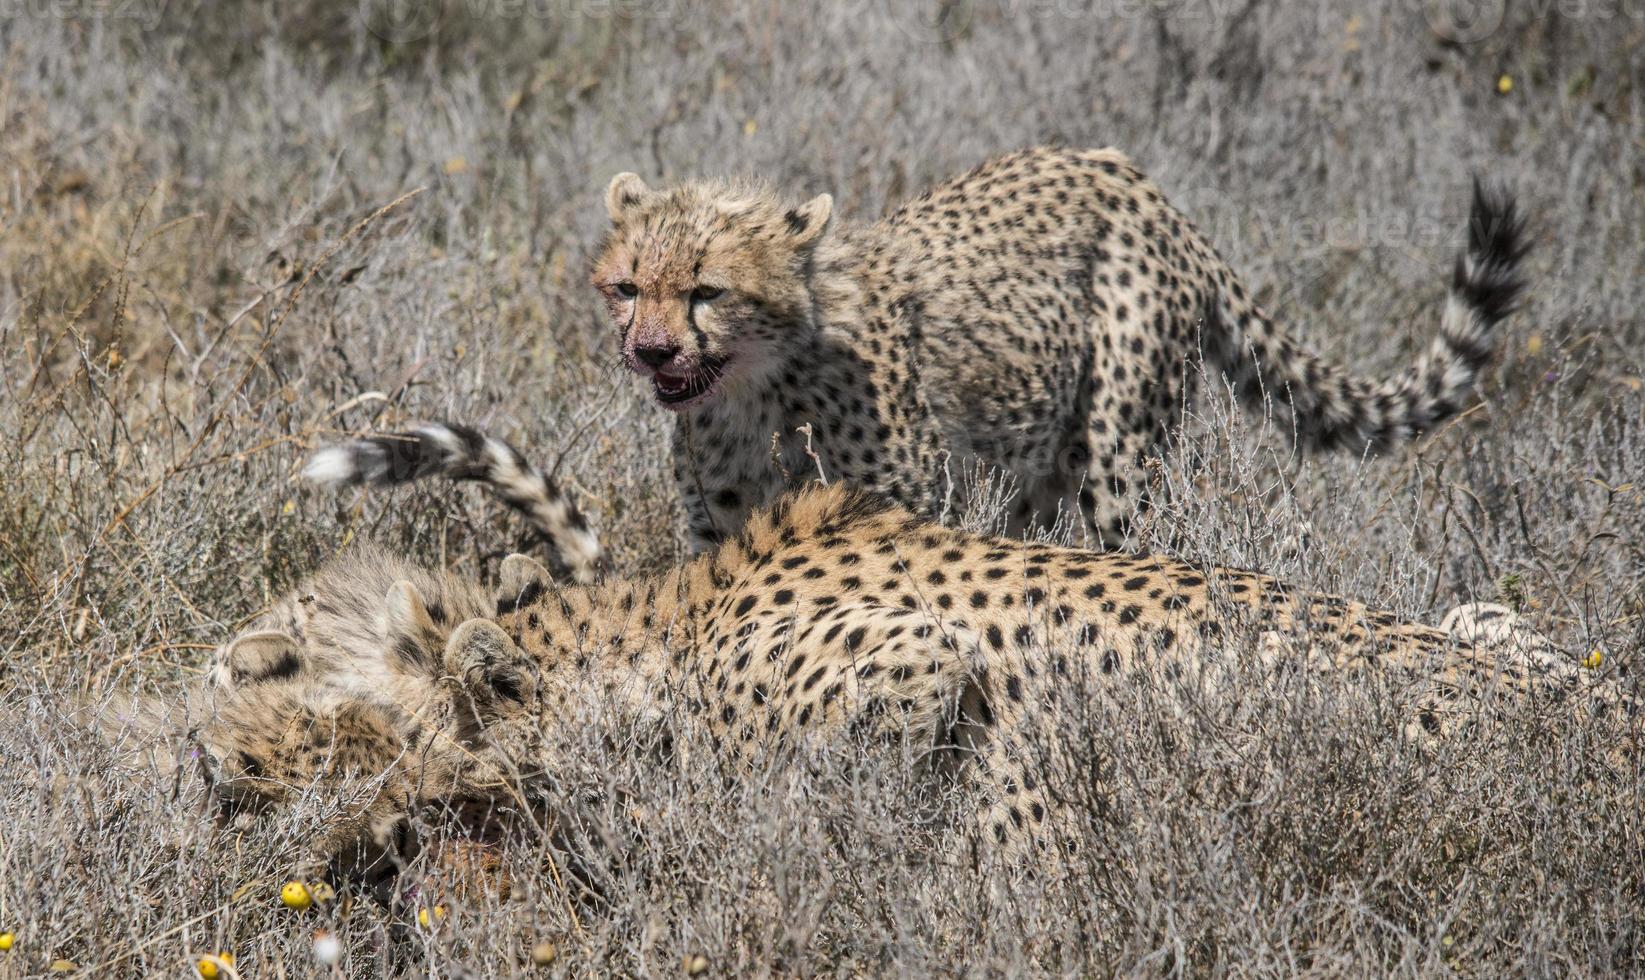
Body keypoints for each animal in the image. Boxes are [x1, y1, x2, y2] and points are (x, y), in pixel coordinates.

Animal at [310, 145, 1526, 559]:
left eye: (704, 289)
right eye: (626, 286)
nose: (650, 351)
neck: (759, 386)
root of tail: (1131, 174)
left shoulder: (898, 498)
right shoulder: (719, 521)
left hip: (1121, 451)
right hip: (1034, 465)